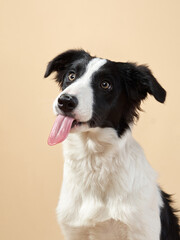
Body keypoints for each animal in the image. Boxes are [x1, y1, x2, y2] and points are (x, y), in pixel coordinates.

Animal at [44, 49, 179, 239]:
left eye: (105, 84)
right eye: (71, 75)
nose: (65, 101)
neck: (93, 161)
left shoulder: (142, 230)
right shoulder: (74, 230)